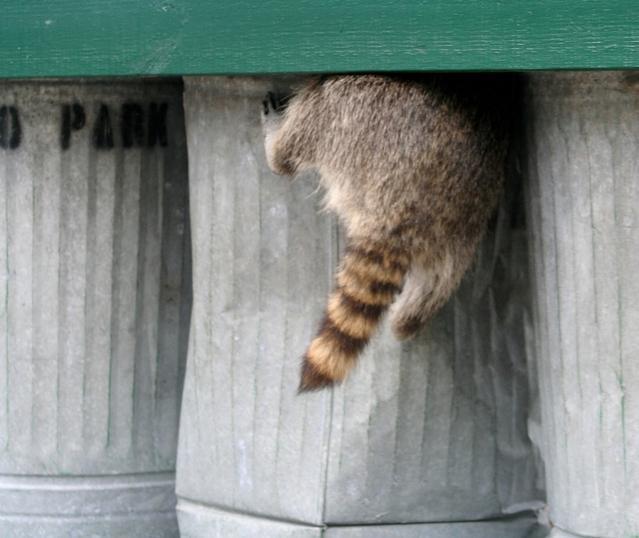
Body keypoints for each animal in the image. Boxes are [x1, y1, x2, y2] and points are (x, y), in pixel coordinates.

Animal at [260, 73, 516, 390]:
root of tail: (402, 209)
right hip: (462, 227)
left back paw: (277, 150)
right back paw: (407, 319)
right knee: (432, 288)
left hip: (356, 114)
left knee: (318, 110)